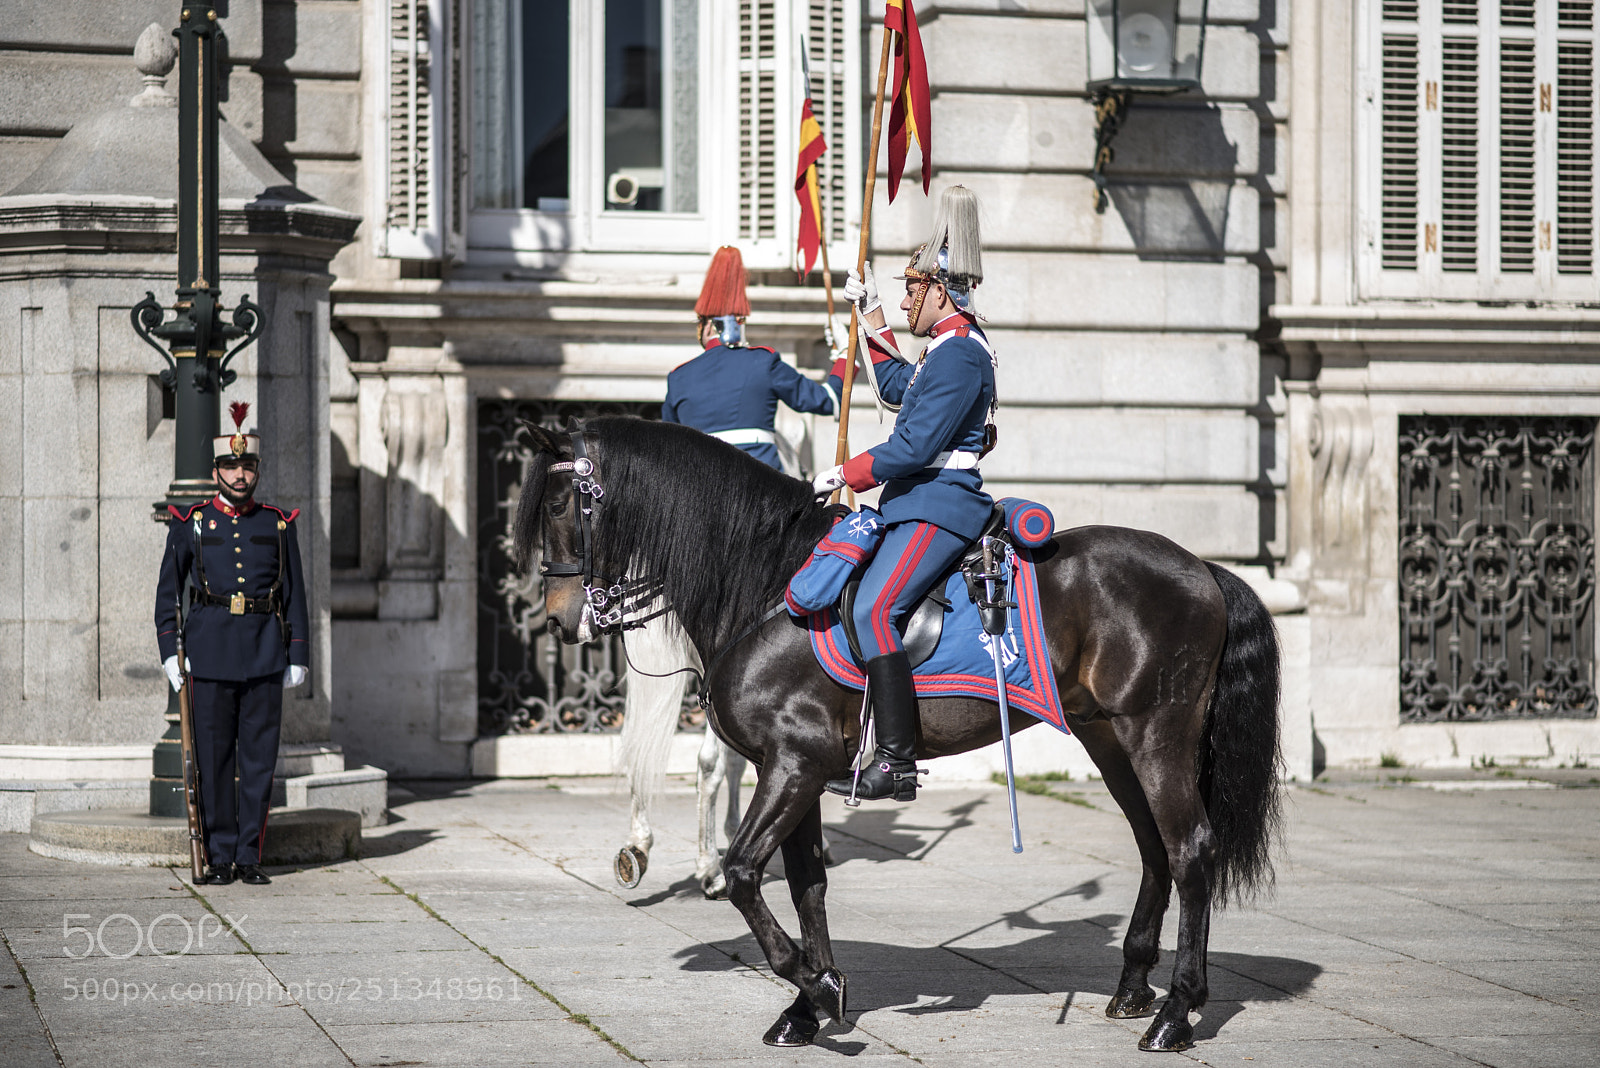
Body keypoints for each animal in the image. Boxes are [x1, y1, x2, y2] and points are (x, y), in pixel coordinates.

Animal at [515, 415, 1286, 1048]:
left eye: (555, 503)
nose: (556, 618)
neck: (766, 586)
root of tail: (1203, 567)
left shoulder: (793, 765)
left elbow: (741, 873)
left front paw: (812, 984)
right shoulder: (794, 769)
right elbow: (806, 883)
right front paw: (810, 1002)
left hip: (1158, 734)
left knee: (1191, 849)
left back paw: (1176, 1013)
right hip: (1109, 737)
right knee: (1156, 849)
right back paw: (1132, 989)